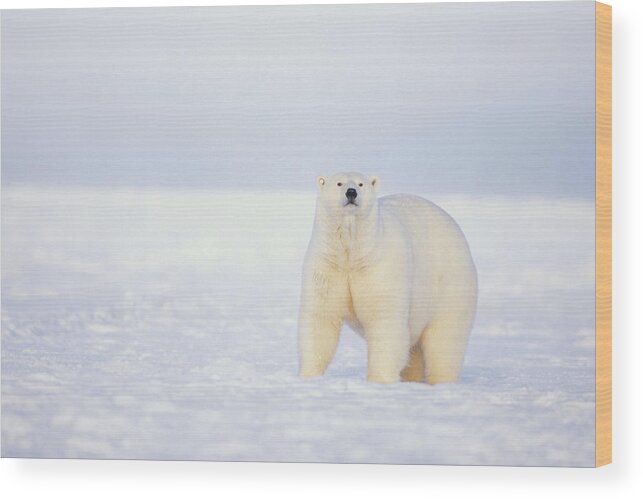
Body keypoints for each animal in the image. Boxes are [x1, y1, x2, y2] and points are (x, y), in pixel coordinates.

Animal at [300, 174, 476, 384]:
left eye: (361, 184)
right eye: (339, 183)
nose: (351, 192)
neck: (353, 254)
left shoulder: (381, 269)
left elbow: (384, 319)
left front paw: (379, 380)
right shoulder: (328, 266)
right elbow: (321, 318)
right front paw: (309, 375)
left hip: (449, 284)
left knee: (445, 341)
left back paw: (441, 380)